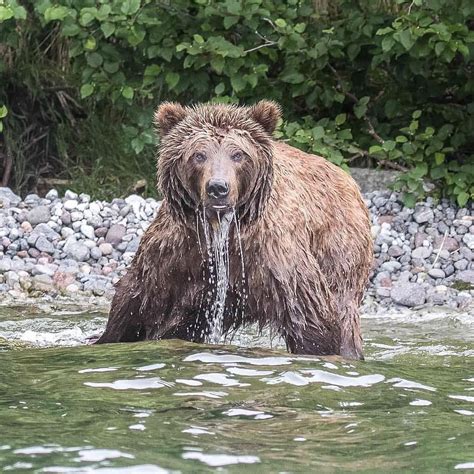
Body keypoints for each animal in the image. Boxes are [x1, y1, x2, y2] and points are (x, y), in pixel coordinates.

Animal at [95, 101, 370, 360]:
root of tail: (348, 179)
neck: (221, 229)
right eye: (199, 155)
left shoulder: (273, 256)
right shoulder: (174, 253)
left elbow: (312, 318)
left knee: (343, 308)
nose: (218, 187)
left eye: (238, 154)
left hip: (339, 249)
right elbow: (133, 306)